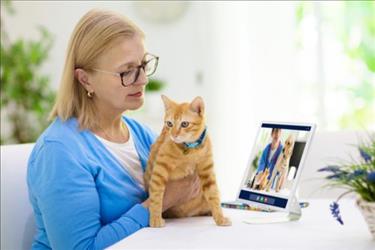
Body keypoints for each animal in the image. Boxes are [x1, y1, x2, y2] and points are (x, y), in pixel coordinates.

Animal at [145, 94, 231, 228]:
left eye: (184, 124)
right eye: (169, 124)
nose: (174, 135)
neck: (190, 149)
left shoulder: (207, 172)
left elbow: (214, 195)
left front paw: (220, 218)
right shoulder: (159, 170)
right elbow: (156, 196)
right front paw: (155, 218)